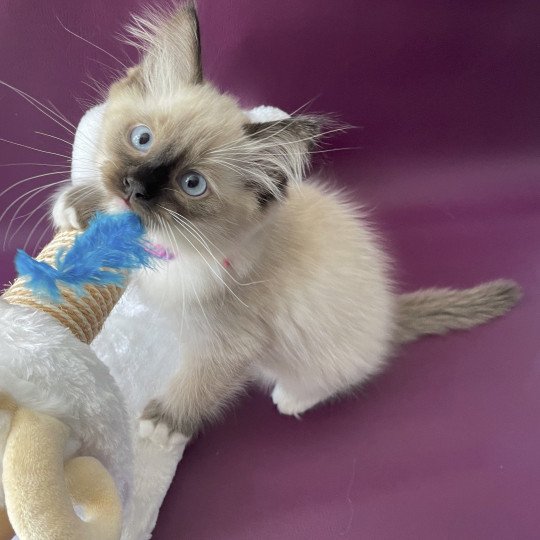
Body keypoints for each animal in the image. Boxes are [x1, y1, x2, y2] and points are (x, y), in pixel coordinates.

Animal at [53, 3, 520, 442]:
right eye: (142, 139)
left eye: (192, 184)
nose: (135, 189)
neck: (174, 246)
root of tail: (389, 313)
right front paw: (80, 206)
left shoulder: (227, 345)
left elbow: (199, 383)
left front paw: (162, 425)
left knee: (338, 376)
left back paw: (291, 398)